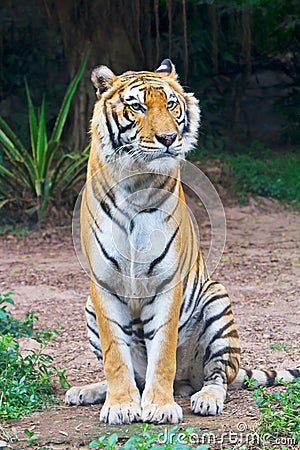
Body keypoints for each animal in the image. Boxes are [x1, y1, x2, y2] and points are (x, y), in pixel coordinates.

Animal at [65, 58, 300, 424]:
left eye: (171, 104)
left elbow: (162, 352)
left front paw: (160, 407)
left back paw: (205, 398)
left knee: (218, 376)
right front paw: (121, 405)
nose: (168, 138)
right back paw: (86, 391)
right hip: (89, 308)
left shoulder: (167, 281)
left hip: (217, 301)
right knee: (132, 373)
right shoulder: (103, 284)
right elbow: (114, 355)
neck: (136, 184)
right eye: (137, 106)